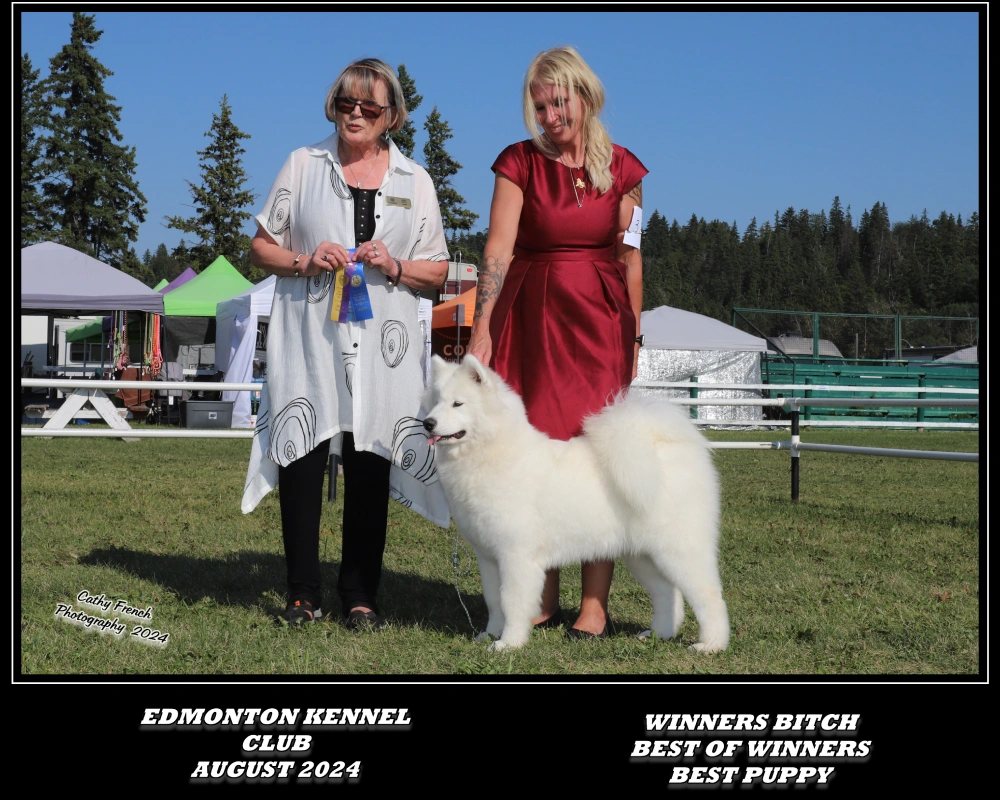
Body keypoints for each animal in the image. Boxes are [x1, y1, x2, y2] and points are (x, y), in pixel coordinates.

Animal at [422, 356, 728, 648]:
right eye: (435, 402)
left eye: (458, 403)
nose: (428, 423)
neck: (491, 453)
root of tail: (666, 444)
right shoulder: (488, 556)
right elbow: (494, 601)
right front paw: (489, 635)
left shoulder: (516, 556)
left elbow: (512, 602)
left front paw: (509, 643)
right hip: (643, 554)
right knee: (667, 593)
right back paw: (659, 634)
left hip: (680, 550)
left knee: (709, 596)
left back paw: (711, 645)